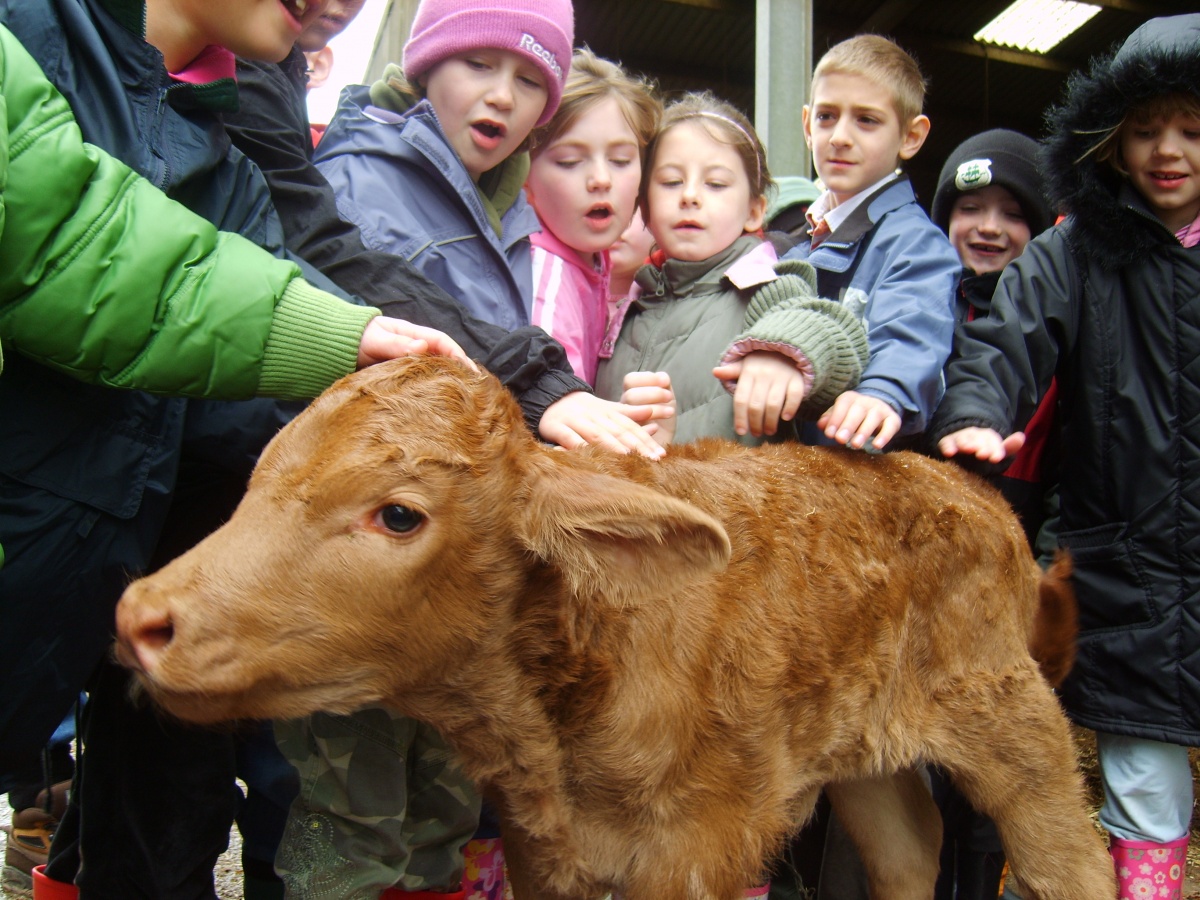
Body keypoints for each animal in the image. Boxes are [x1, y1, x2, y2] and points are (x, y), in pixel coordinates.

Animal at [114, 357, 1113, 900]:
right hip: (862, 753)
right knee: (910, 850)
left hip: (1016, 726)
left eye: (397, 515)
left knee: (1068, 856)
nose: (140, 617)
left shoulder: (701, 843)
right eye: (260, 475)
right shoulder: (542, 845)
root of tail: (966, 489)